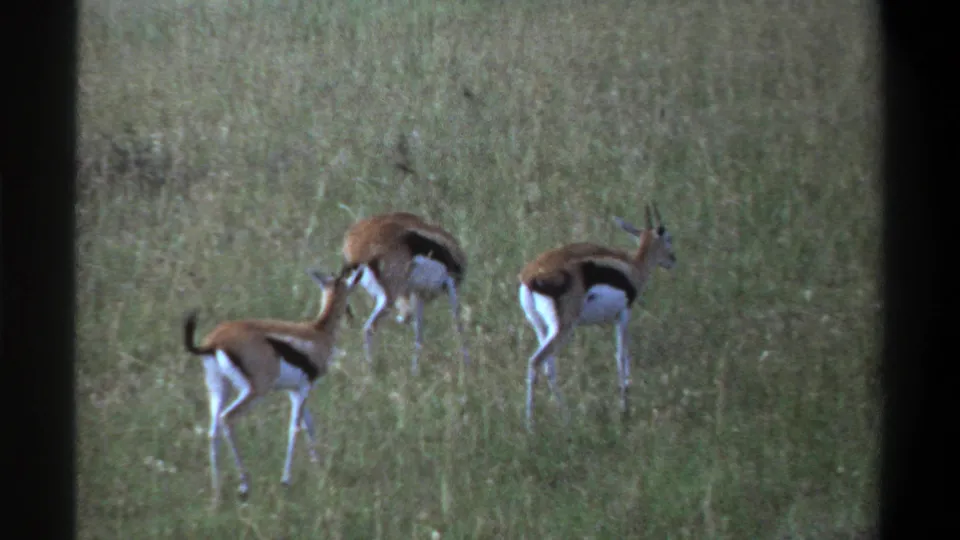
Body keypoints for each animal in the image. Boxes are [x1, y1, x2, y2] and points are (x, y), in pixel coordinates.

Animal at [182, 268, 357, 505]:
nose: (351, 315)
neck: (318, 331)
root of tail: (214, 342)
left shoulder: (295, 391)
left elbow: (309, 426)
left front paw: (320, 471)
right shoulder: (303, 389)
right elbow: (296, 429)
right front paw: (286, 481)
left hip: (218, 389)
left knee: (213, 431)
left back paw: (216, 495)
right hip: (254, 392)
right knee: (228, 418)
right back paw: (244, 487)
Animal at [340, 211, 469, 374]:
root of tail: (356, 246)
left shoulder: (417, 294)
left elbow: (419, 333)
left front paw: (415, 372)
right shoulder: (451, 285)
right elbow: (458, 324)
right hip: (388, 297)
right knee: (369, 328)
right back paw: (370, 372)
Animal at [517, 203, 677, 431]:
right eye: (669, 237)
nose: (673, 260)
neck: (633, 266)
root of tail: (531, 277)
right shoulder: (624, 313)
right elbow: (622, 356)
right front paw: (624, 407)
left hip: (542, 327)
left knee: (548, 367)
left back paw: (562, 416)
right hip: (563, 327)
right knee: (536, 361)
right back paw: (533, 425)